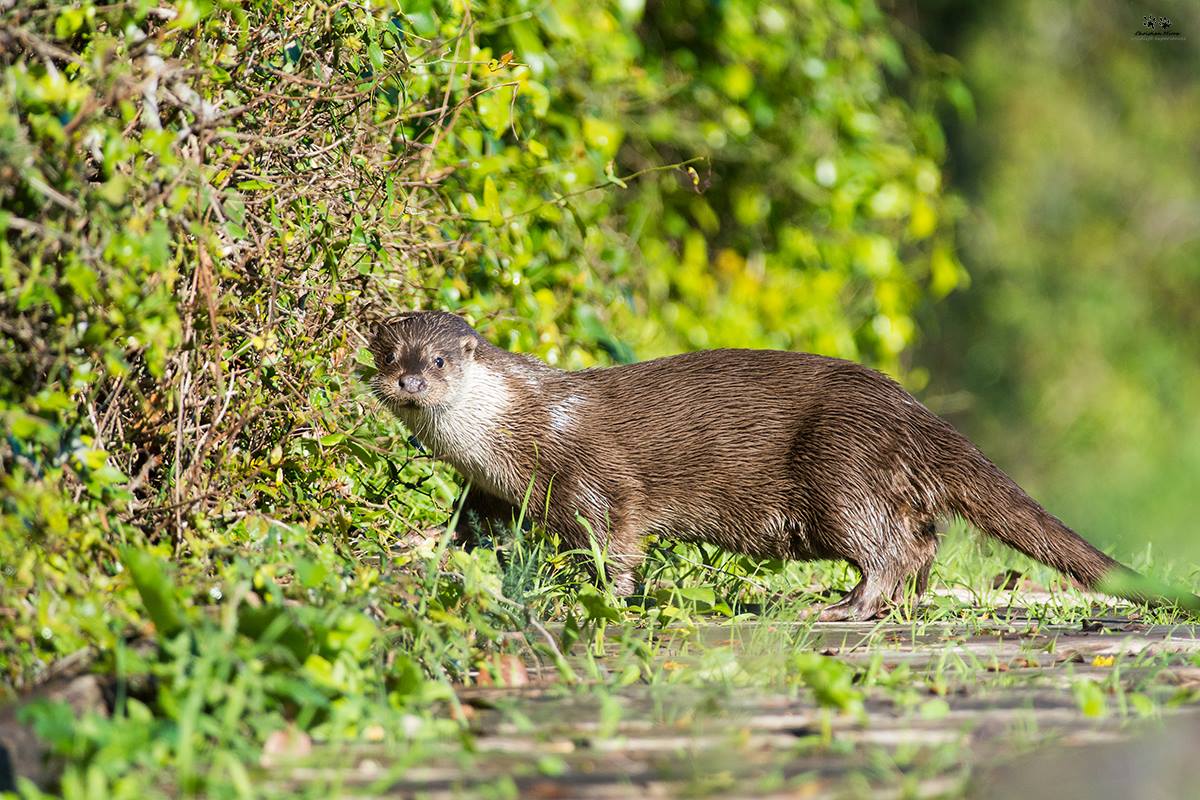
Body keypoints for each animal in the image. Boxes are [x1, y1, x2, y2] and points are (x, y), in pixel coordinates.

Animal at [369, 311, 1195, 618]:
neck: (521, 428)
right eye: (388, 353)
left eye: (438, 360)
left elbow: (614, 541)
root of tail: (914, 412)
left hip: (842, 470)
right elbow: (468, 530)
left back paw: (850, 604)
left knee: (892, 544)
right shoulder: (488, 491)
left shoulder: (589, 475)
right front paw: (417, 545)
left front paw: (605, 597)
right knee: (926, 541)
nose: (407, 383)